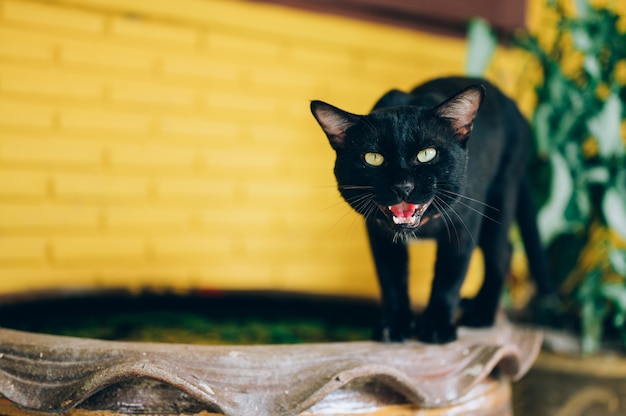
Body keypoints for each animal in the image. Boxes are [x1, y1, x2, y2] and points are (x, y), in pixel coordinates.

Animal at [310, 76, 548, 342]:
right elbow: (392, 280)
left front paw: (436, 327)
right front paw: (395, 325)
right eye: (373, 158)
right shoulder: (379, 234)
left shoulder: (463, 227)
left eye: (427, 154)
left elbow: (449, 277)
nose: (403, 185)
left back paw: (481, 314)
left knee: (502, 252)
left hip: (501, 197)